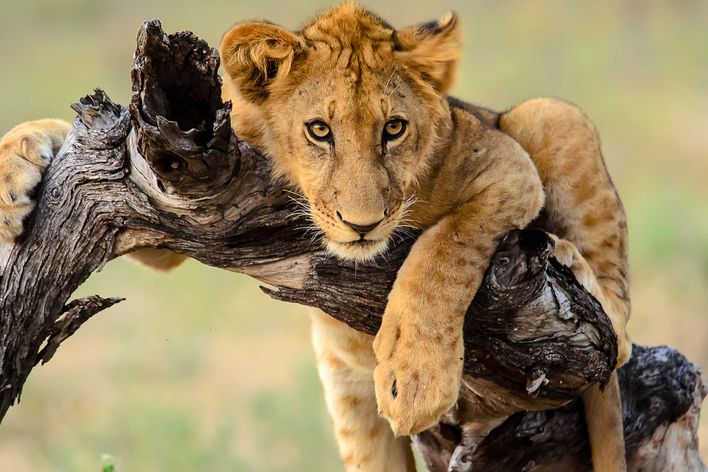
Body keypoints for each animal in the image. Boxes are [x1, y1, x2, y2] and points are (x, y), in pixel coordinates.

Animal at [0, 3, 632, 472]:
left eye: (394, 128)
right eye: (319, 130)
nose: (362, 223)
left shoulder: (508, 171)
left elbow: (443, 252)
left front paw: (417, 376)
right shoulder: (172, 189)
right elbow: (66, 134)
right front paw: (14, 182)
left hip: (550, 116)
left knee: (618, 333)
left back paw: (570, 262)